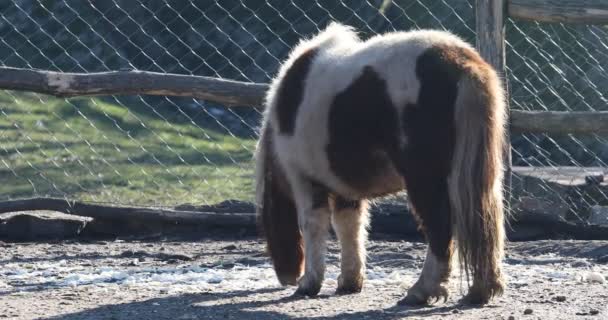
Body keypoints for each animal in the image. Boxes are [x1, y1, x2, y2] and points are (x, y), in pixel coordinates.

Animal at [254, 23, 506, 304]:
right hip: (479, 175)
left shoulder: (305, 181)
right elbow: (350, 227)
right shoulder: (345, 188)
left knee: (440, 228)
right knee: (486, 219)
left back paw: (422, 291)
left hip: (425, 179)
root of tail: (464, 63)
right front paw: (349, 281)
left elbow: (314, 225)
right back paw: (482, 289)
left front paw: (309, 284)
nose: (286, 277)